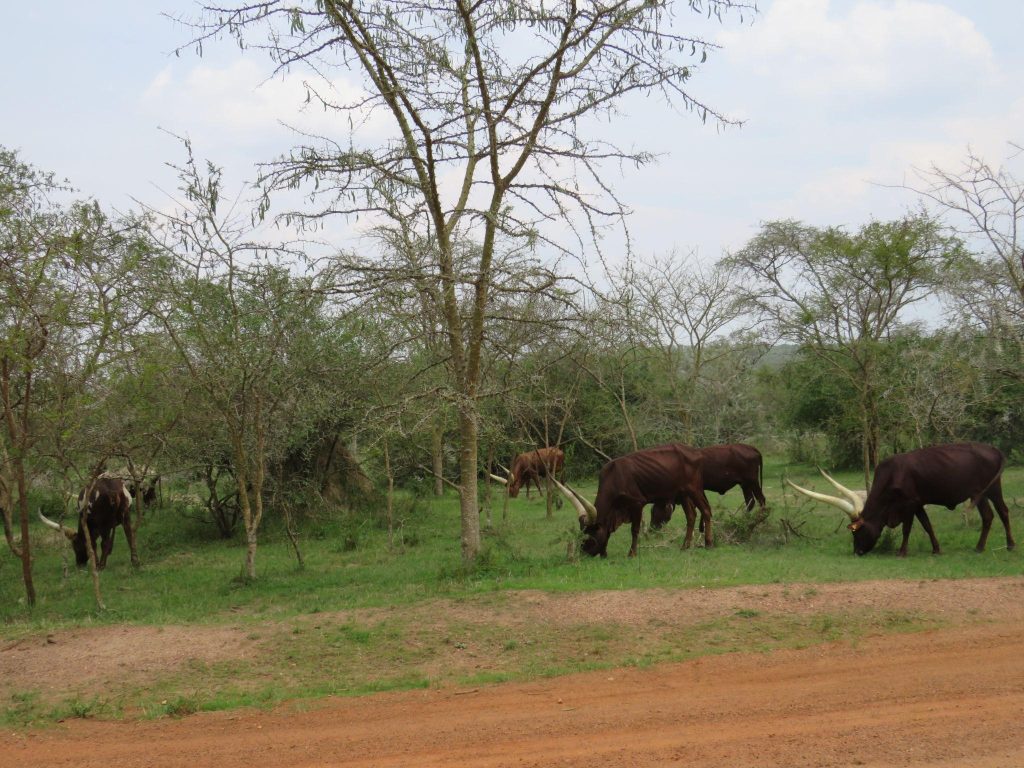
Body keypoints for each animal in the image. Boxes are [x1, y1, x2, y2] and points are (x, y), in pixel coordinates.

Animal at [552, 444, 712, 561]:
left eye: (590, 535)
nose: (583, 553)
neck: (615, 477)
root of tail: (696, 452)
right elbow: (608, 531)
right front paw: (604, 553)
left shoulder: (637, 504)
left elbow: (634, 530)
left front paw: (632, 553)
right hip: (683, 493)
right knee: (691, 516)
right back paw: (685, 546)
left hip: (694, 489)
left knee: (706, 511)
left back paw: (709, 544)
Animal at [786, 444, 1011, 561]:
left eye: (857, 532)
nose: (857, 552)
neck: (892, 475)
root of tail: (993, 449)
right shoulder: (918, 504)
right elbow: (927, 525)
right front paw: (936, 549)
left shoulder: (908, 505)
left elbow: (907, 529)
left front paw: (902, 552)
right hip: (985, 493)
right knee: (995, 514)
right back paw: (998, 546)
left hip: (988, 491)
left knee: (999, 513)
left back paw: (994, 546)